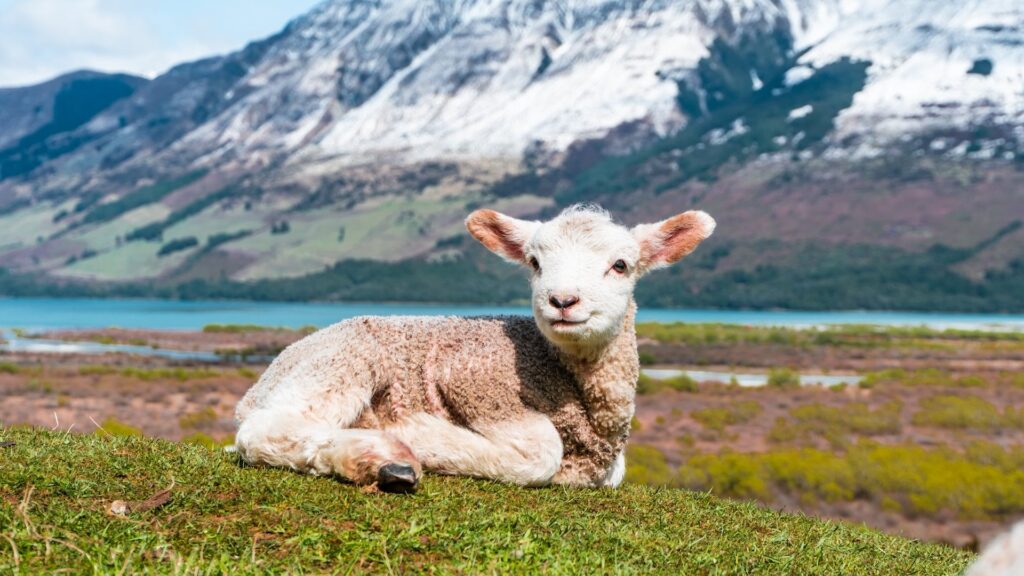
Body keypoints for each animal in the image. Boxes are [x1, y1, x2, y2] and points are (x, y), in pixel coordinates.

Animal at [233, 201, 716, 487]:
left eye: (620, 265)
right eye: (534, 263)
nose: (562, 301)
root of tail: (258, 385)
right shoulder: (474, 377)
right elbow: (541, 454)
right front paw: (421, 433)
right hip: (342, 361)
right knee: (263, 431)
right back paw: (378, 455)